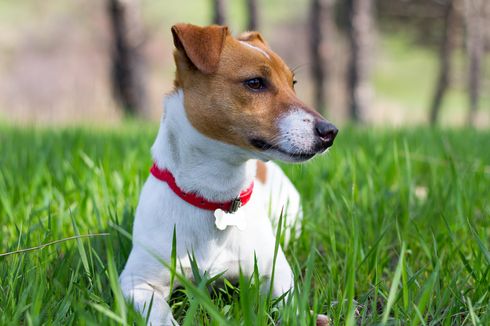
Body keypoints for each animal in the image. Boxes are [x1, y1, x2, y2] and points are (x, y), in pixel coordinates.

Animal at [120, 23, 338, 326]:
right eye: (255, 83)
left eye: (293, 84)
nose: (330, 132)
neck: (215, 194)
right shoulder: (138, 282)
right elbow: (159, 314)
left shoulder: (275, 273)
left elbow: (289, 302)